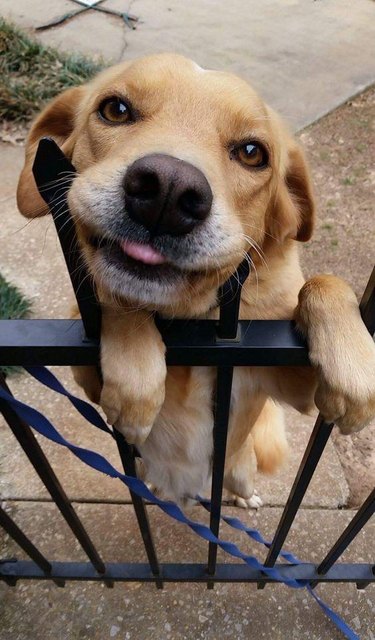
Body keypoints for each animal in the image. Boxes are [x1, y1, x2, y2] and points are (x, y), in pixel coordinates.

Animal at [16, 53, 375, 504]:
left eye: (252, 153)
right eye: (116, 109)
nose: (168, 192)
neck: (194, 320)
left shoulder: (290, 385)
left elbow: (324, 282)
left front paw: (354, 365)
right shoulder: (86, 380)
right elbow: (114, 296)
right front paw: (136, 381)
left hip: (241, 463)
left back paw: (242, 496)